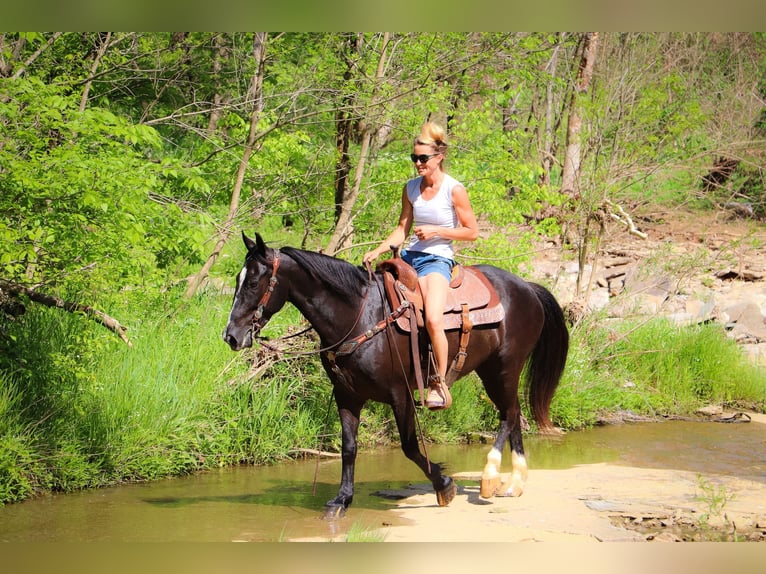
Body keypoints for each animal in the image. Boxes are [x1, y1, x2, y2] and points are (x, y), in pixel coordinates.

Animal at [224, 234, 568, 520]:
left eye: (253, 281)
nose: (231, 336)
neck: (359, 316)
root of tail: (527, 287)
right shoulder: (347, 395)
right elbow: (349, 448)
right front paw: (341, 500)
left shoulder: (400, 394)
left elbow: (410, 446)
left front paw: (444, 485)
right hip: (492, 370)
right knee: (513, 413)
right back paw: (513, 483)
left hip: (504, 367)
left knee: (509, 414)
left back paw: (489, 476)